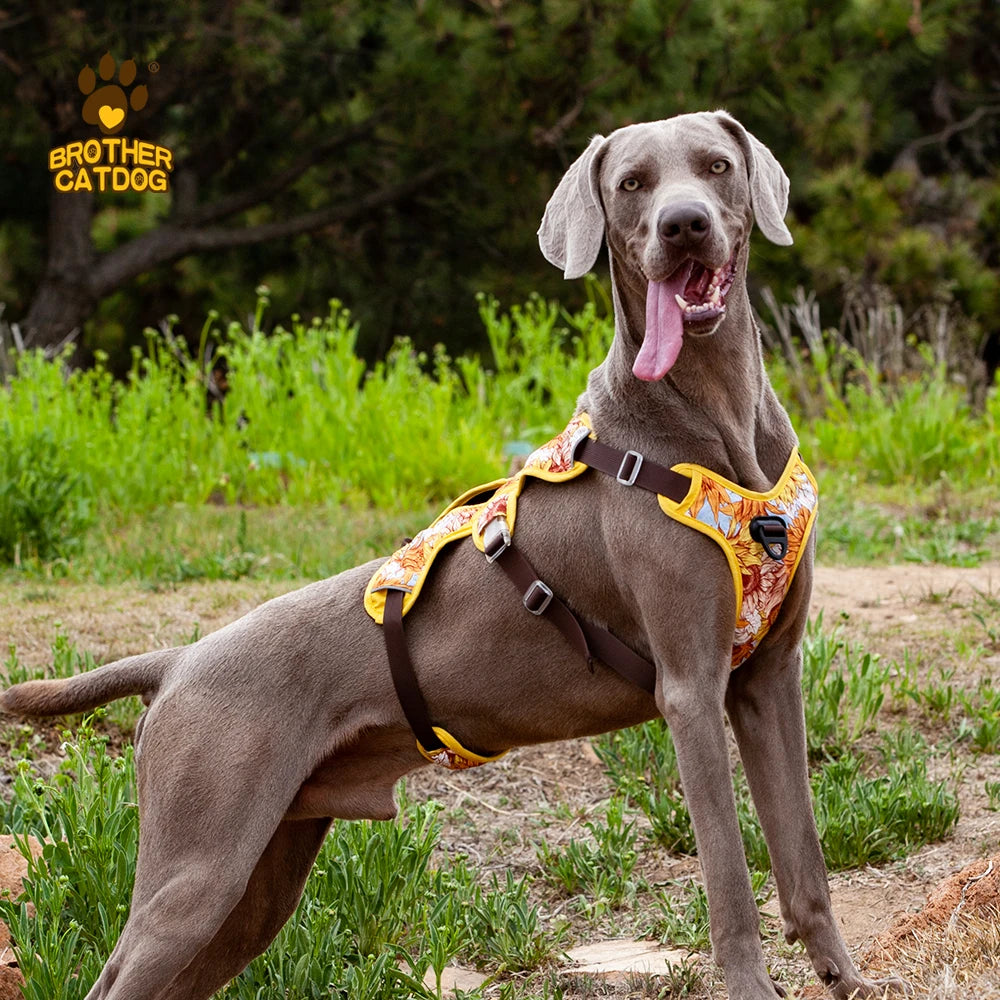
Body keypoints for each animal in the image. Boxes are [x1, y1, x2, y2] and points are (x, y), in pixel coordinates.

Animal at [0, 111, 908, 1000]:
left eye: (717, 166)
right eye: (631, 184)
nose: (682, 226)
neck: (716, 421)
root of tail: (177, 660)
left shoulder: (768, 678)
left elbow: (803, 856)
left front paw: (849, 980)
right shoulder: (690, 689)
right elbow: (728, 875)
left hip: (260, 880)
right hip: (203, 863)